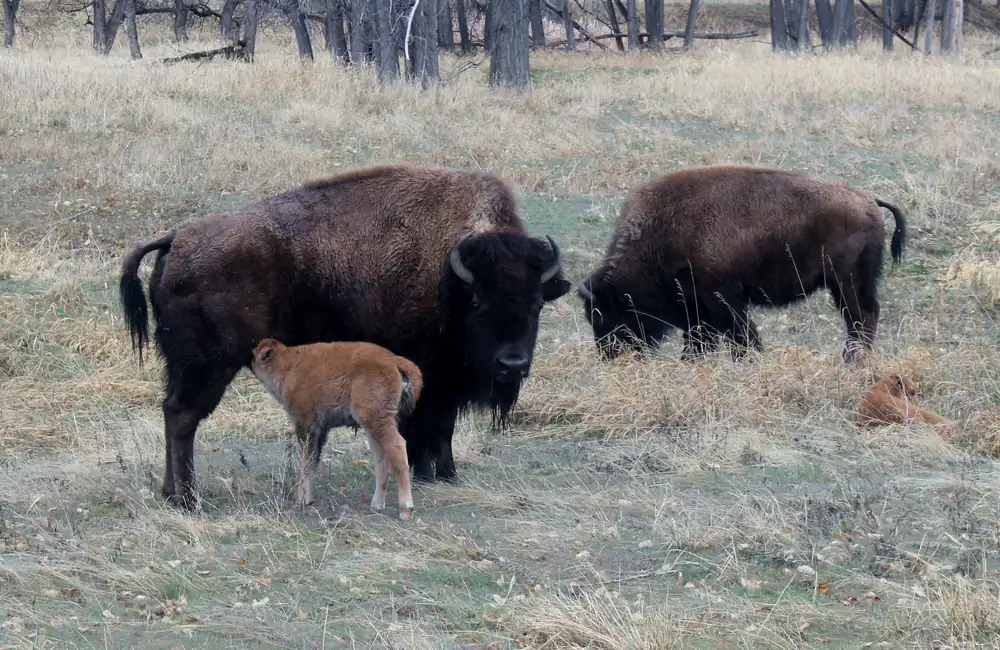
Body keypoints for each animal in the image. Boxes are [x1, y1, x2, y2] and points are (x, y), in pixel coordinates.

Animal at [250, 338, 423, 519]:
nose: (250, 362)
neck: (288, 365)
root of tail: (394, 360)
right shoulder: (319, 431)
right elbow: (312, 462)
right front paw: (308, 499)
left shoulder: (305, 425)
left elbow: (305, 463)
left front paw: (302, 500)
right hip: (373, 425)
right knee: (381, 458)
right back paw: (377, 504)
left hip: (377, 421)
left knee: (397, 449)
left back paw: (406, 509)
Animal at [576, 165, 907, 363]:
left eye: (604, 312)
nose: (610, 355)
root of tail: (868, 200)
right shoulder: (698, 308)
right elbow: (701, 340)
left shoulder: (720, 298)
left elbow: (740, 336)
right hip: (845, 284)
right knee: (861, 317)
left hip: (847, 282)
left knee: (861, 316)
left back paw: (853, 360)